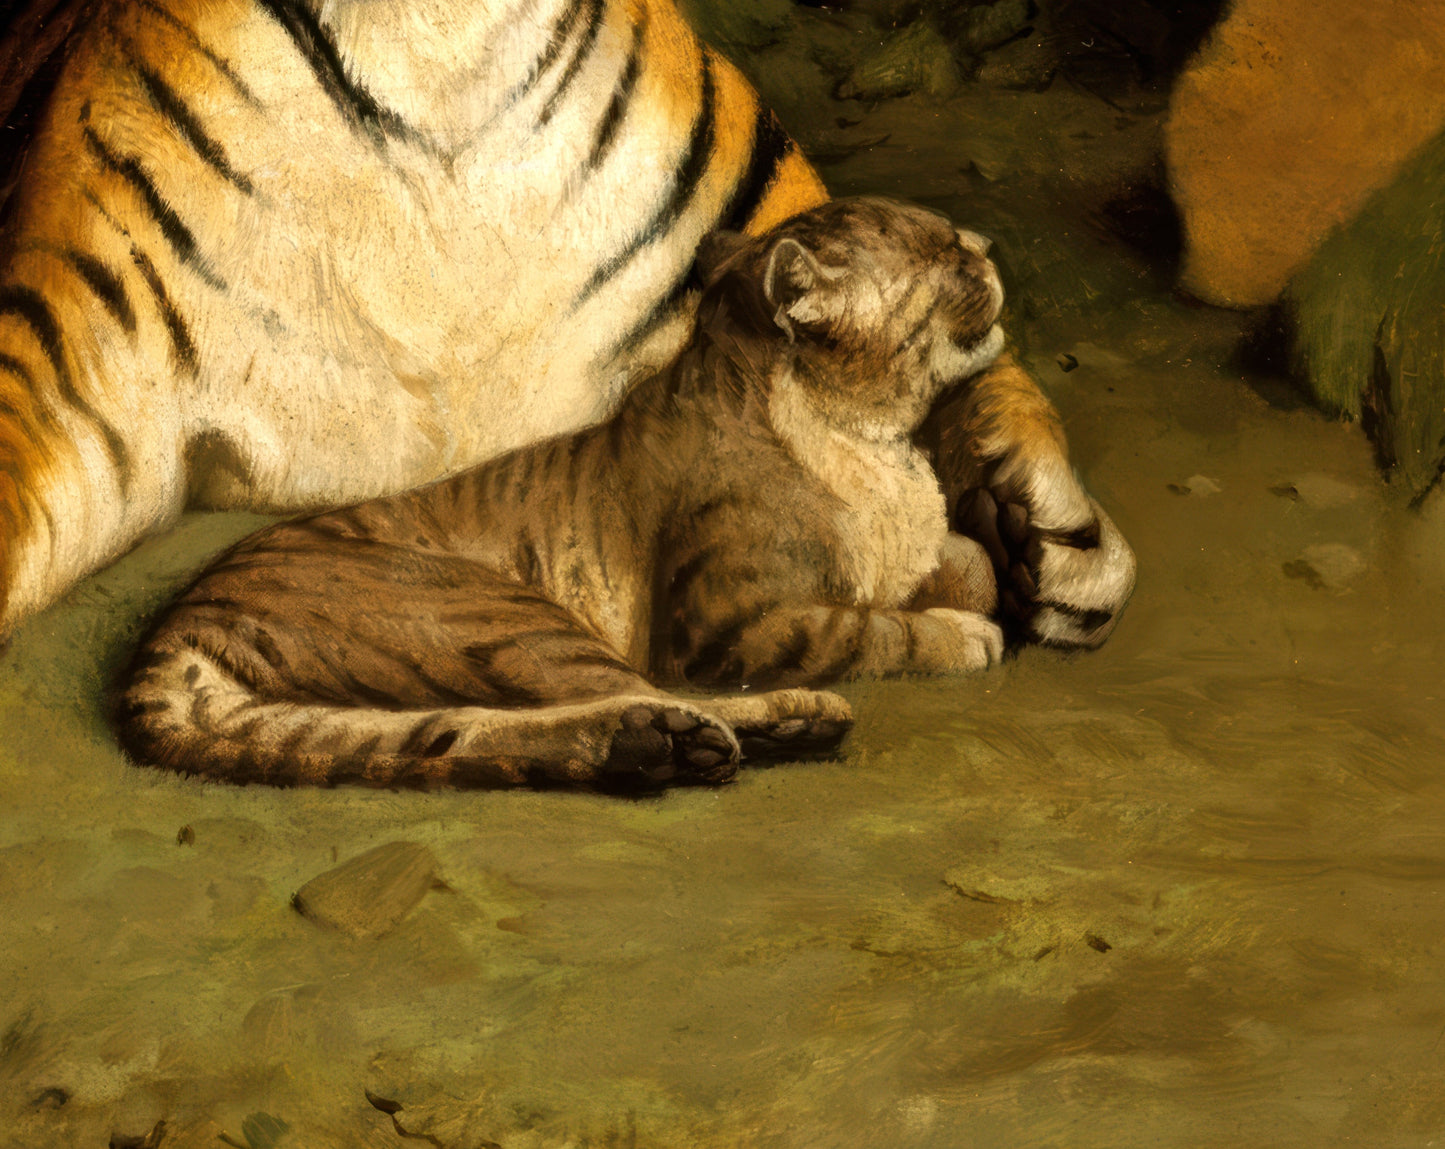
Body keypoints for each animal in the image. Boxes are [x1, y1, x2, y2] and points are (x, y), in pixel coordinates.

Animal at [0, 0, 1134, 654]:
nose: (979, 251)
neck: (434, 44)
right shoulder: (80, 369)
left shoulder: (766, 236)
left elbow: (978, 381)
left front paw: (1052, 530)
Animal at [117, 196, 1015, 788]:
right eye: (946, 256)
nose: (987, 242)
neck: (869, 436)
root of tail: (176, 623)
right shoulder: (723, 628)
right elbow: (865, 628)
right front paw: (965, 632)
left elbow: (960, 557)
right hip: (500, 615)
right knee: (637, 690)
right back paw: (770, 722)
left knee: (461, 734)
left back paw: (655, 746)